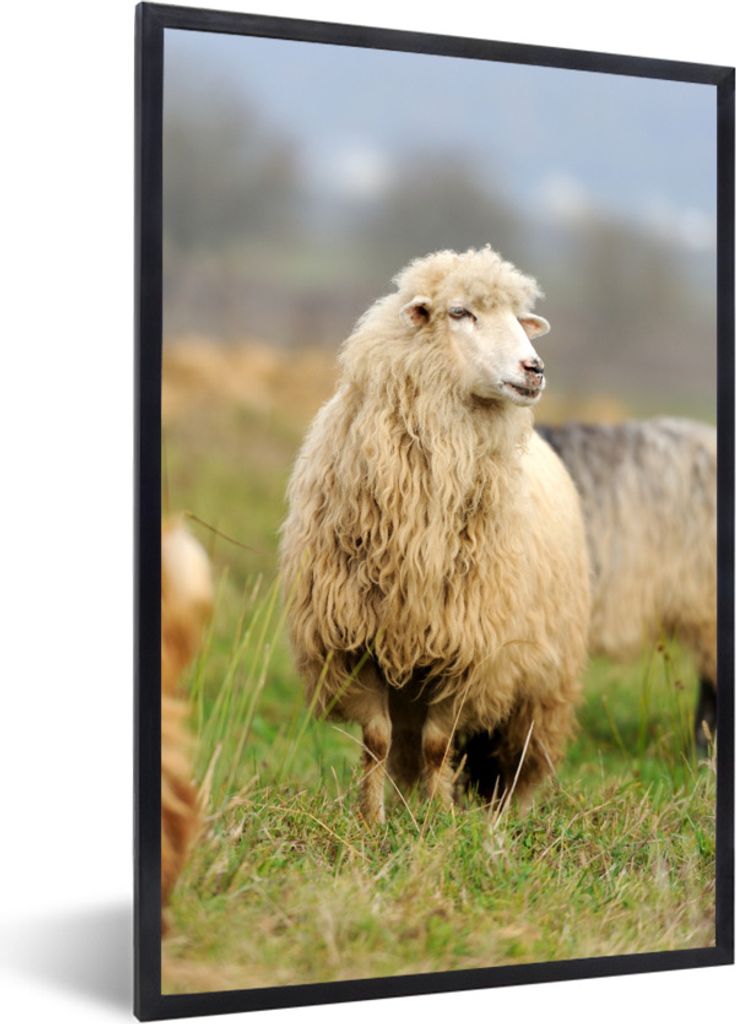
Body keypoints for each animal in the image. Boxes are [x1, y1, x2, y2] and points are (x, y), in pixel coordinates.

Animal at [279, 246, 591, 823]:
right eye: (460, 312)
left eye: (520, 318)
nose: (534, 369)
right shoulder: (355, 641)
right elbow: (378, 740)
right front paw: (373, 822)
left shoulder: (472, 651)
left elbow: (438, 744)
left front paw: (441, 823)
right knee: (405, 743)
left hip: (544, 679)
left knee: (524, 756)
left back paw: (509, 816)